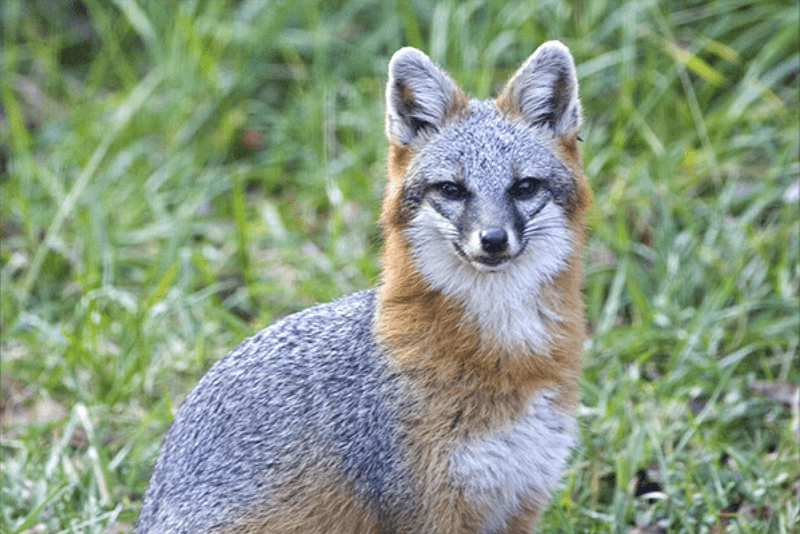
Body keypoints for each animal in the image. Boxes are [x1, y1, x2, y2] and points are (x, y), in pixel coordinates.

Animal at [135, 40, 591, 534]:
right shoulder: (426, 509)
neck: (506, 357)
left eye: (524, 187)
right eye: (451, 190)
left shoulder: (520, 498)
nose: (492, 239)